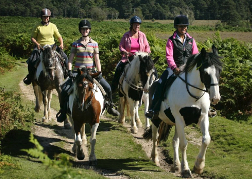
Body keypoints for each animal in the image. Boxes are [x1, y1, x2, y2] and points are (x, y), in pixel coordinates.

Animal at [143, 45, 223, 178]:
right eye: (205, 72)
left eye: (219, 71)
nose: (215, 98)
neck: (193, 94)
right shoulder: (179, 119)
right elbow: (184, 144)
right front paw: (186, 170)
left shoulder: (202, 117)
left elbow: (206, 139)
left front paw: (198, 167)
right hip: (156, 119)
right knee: (155, 137)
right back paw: (155, 159)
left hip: (175, 123)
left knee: (174, 141)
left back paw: (176, 165)